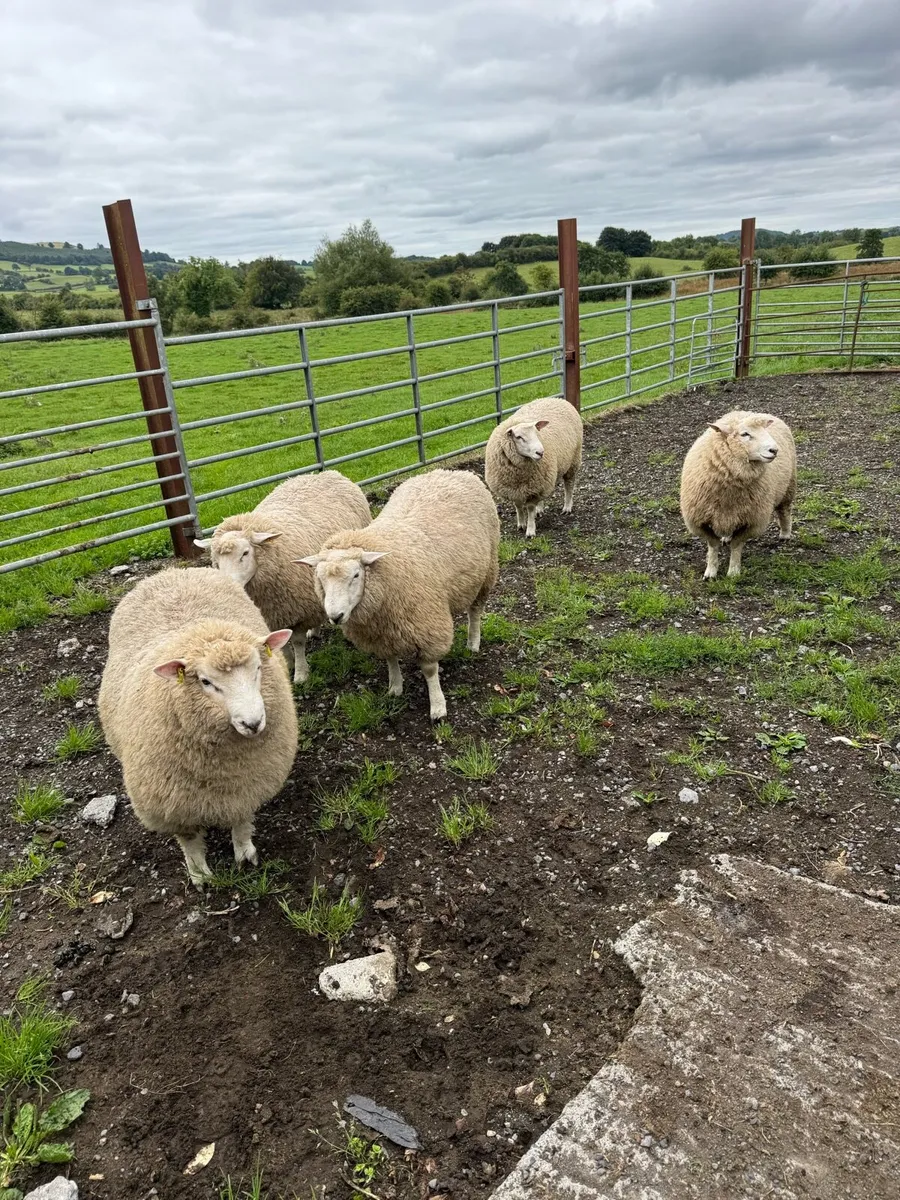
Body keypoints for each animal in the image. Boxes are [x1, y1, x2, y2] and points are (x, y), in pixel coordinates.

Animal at [98, 568, 299, 887]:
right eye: (206, 682)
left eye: (258, 668)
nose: (253, 723)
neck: (221, 771)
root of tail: (173, 571)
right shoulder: (173, 804)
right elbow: (190, 840)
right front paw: (200, 874)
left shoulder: (245, 786)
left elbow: (241, 822)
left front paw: (245, 854)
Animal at [194, 471, 371, 684]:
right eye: (216, 559)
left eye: (245, 553)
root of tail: (325, 473)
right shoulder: (272, 615)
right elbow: (281, 643)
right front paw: (289, 663)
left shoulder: (299, 610)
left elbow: (297, 642)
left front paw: (301, 673)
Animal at [298, 469, 500, 720]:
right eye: (320, 579)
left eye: (356, 575)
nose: (335, 616)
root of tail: (452, 472)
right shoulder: (383, 632)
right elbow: (390, 659)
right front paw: (395, 687)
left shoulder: (427, 626)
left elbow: (429, 669)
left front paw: (438, 706)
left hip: (487, 572)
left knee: (475, 611)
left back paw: (473, 642)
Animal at [484, 396, 583, 537]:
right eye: (519, 437)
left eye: (537, 434)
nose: (540, 452)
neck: (518, 475)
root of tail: (557, 399)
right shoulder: (515, 489)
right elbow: (518, 506)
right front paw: (521, 524)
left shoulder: (533, 489)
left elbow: (530, 508)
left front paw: (530, 530)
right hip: (544, 479)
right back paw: (540, 509)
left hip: (573, 460)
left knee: (569, 484)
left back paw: (567, 507)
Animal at [679, 410, 797, 579]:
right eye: (744, 434)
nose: (774, 450)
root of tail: (756, 412)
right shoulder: (700, 520)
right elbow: (713, 545)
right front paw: (710, 572)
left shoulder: (751, 521)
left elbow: (736, 546)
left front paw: (733, 572)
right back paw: (726, 537)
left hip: (789, 486)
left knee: (784, 510)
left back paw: (785, 534)